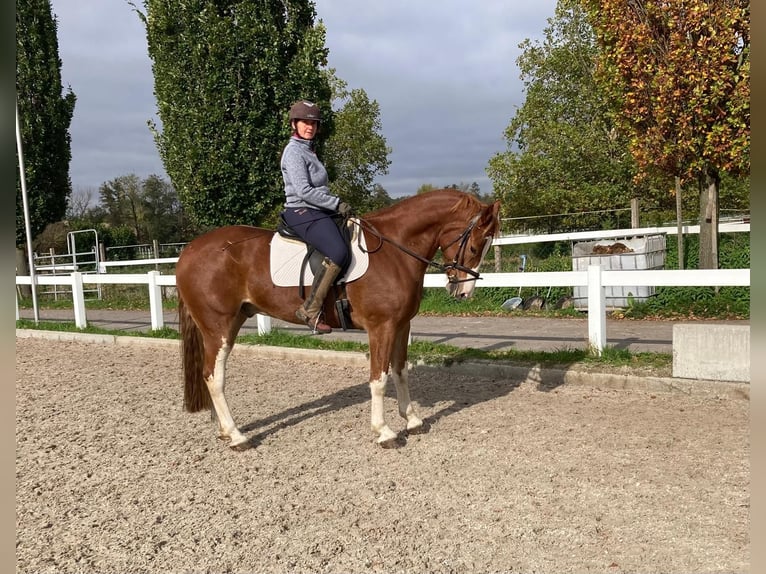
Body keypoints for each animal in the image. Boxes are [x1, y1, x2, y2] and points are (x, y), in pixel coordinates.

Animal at [178, 189, 508, 450]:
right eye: (475, 246)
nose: (463, 292)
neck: (395, 250)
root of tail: (189, 251)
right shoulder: (381, 328)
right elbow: (379, 378)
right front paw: (384, 432)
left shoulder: (402, 326)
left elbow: (401, 371)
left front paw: (412, 420)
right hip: (218, 327)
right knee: (213, 376)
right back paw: (237, 436)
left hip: (232, 322)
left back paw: (225, 431)